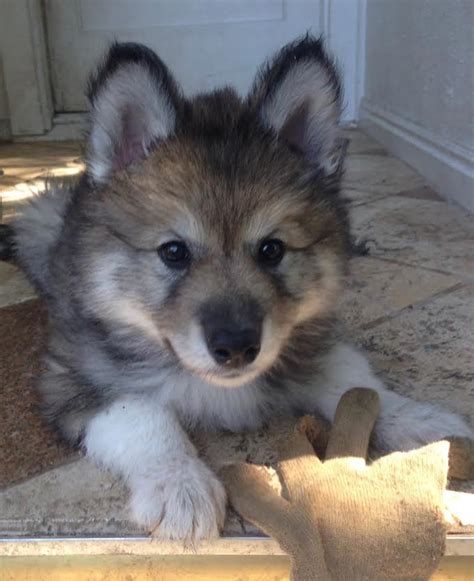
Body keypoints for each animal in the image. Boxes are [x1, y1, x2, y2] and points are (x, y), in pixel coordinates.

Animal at [6, 38, 470, 540]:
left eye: (271, 249)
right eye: (174, 251)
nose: (236, 349)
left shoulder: (313, 344)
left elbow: (357, 384)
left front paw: (420, 420)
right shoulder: (75, 378)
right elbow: (144, 417)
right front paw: (180, 485)